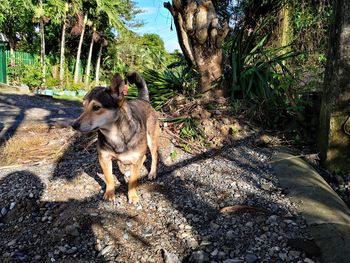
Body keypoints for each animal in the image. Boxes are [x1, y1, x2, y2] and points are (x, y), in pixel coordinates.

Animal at [72, 72, 160, 204]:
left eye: (96, 107)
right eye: (83, 106)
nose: (74, 125)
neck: (115, 133)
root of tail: (143, 99)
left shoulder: (136, 158)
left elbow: (133, 181)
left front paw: (132, 196)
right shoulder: (104, 158)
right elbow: (109, 178)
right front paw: (109, 193)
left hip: (151, 140)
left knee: (153, 156)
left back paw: (152, 173)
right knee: (142, 158)